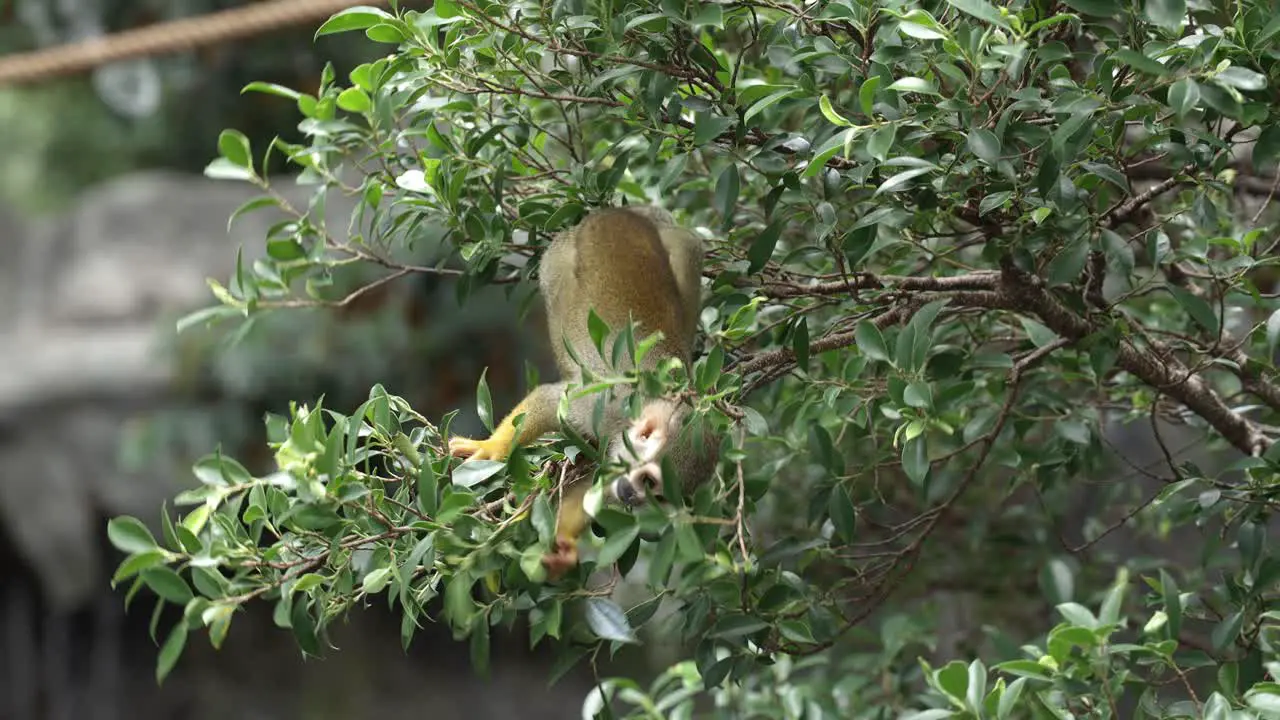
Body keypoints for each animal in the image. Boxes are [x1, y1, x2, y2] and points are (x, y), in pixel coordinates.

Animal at [448, 204, 721, 573]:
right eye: (648, 481)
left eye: (658, 495)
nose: (632, 497)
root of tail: (618, 211)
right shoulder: (604, 406)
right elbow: (552, 401)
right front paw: (491, 449)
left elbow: (597, 489)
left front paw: (564, 542)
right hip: (561, 255)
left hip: (672, 237)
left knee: (688, 249)